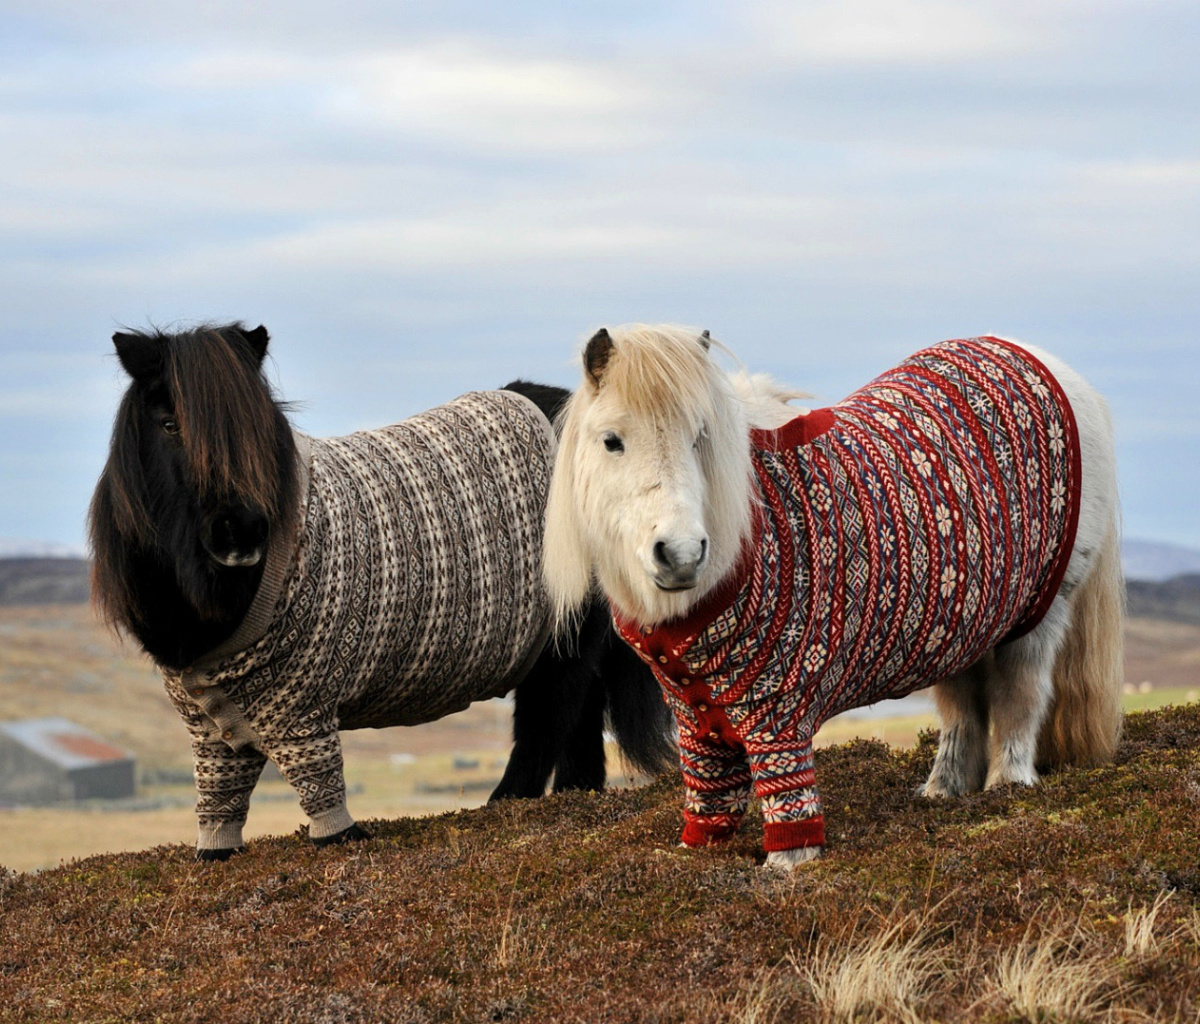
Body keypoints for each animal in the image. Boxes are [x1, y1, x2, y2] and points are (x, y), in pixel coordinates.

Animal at [91, 324, 676, 859]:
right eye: (169, 424)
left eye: (258, 427)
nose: (242, 532)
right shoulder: (210, 729)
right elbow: (219, 798)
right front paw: (216, 851)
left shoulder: (303, 710)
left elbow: (321, 788)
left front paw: (340, 838)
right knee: (578, 717)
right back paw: (574, 796)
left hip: (562, 637)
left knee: (549, 718)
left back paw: (506, 803)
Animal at [544, 324, 1123, 869]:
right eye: (611, 440)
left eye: (699, 437)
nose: (681, 555)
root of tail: (1042, 362)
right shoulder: (696, 718)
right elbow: (710, 798)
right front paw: (696, 855)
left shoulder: (778, 712)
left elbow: (787, 800)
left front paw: (786, 866)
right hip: (963, 625)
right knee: (963, 710)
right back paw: (943, 791)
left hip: (1040, 615)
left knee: (1020, 696)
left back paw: (1008, 787)